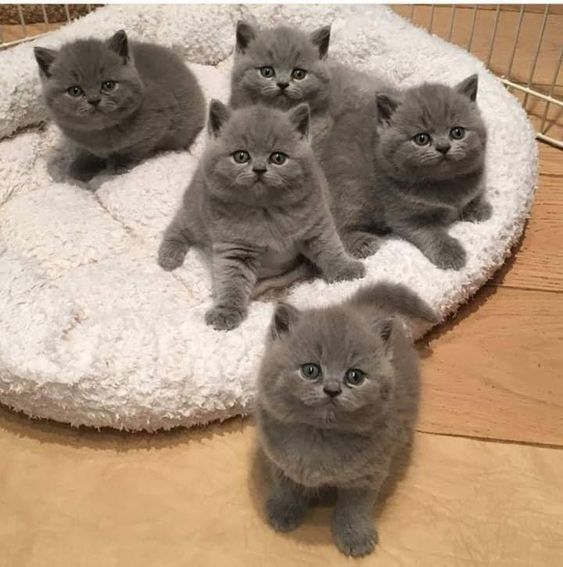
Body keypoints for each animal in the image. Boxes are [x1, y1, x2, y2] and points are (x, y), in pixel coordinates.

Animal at [33, 30, 205, 181]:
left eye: (108, 85)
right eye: (75, 91)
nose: (94, 100)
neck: (100, 132)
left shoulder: (156, 126)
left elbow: (134, 149)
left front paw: (121, 164)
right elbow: (89, 152)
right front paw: (83, 165)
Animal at [158, 101, 366, 332]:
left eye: (278, 158)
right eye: (241, 156)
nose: (259, 169)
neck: (267, 211)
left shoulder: (316, 224)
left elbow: (330, 248)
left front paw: (346, 269)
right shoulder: (234, 246)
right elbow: (231, 279)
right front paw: (226, 311)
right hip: (195, 210)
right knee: (178, 226)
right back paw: (169, 255)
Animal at [256, 282, 436, 556]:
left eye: (355, 376)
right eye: (310, 370)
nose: (332, 389)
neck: (319, 436)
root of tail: (361, 305)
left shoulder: (368, 474)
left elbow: (354, 507)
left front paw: (355, 536)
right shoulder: (280, 461)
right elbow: (287, 486)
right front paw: (284, 510)